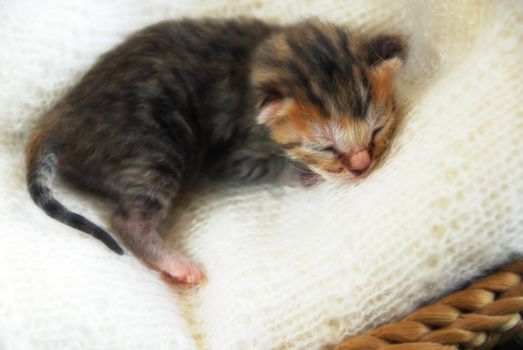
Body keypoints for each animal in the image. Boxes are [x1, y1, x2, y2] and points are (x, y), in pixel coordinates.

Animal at [26, 17, 408, 284]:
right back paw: (176, 264)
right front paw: (304, 175)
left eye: (377, 128)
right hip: (157, 148)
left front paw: (393, 42)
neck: (256, 64)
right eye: (324, 147)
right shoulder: (230, 155)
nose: (361, 166)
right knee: (127, 218)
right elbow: (268, 167)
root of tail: (62, 117)